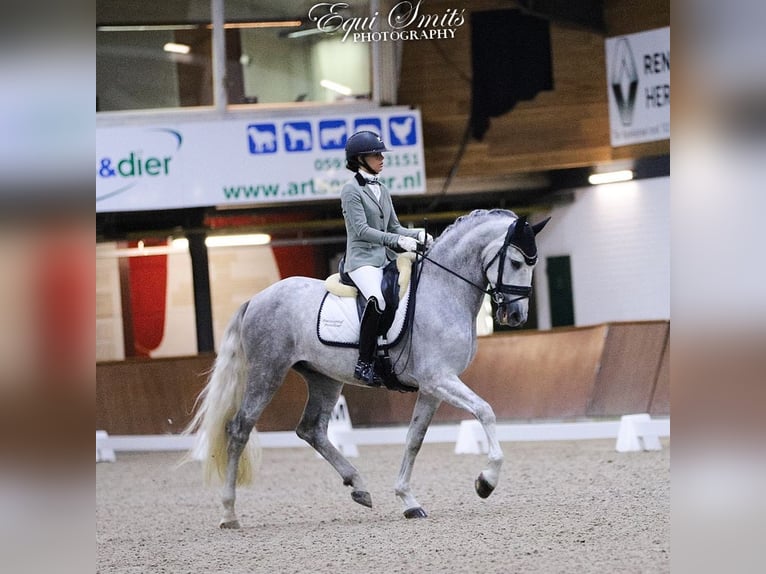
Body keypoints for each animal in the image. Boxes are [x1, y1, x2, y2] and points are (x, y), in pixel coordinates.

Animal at [184, 209, 548, 528]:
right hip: (267, 371)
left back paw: (359, 486)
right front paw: (486, 482)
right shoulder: (439, 378)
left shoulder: (433, 387)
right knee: (239, 429)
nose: (516, 316)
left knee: (311, 429)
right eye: (516, 262)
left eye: (533, 263)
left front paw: (408, 500)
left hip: (323, 378)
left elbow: (414, 439)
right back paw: (229, 513)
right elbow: (485, 411)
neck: (443, 290)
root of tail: (256, 299)